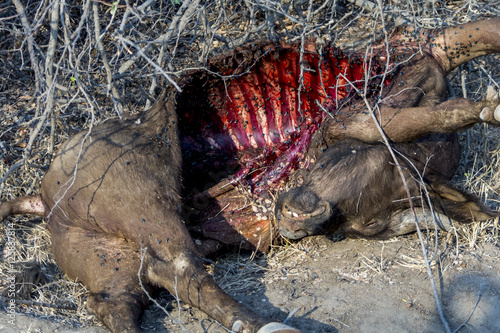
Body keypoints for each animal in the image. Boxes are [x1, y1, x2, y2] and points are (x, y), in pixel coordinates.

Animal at [0, 91, 300, 332]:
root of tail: (46, 202)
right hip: (141, 201)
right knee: (182, 267)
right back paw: (271, 326)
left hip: (106, 260)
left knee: (115, 300)